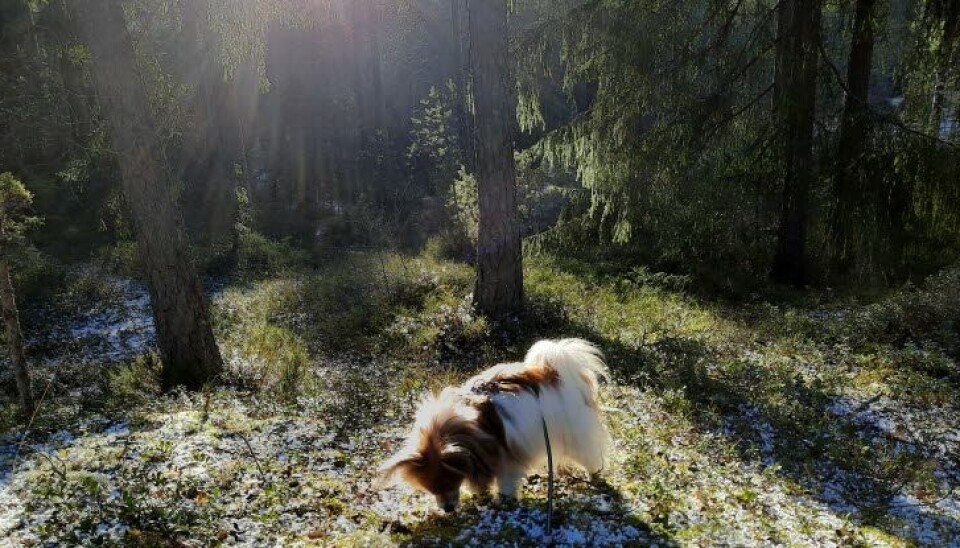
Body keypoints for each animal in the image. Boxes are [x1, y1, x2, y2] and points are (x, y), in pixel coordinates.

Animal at [376, 338, 608, 512]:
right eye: (432, 490)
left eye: (450, 482)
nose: (447, 509)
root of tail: (557, 373)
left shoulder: (506, 456)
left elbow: (505, 481)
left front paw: (503, 501)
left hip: (573, 436)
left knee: (589, 457)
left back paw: (593, 476)